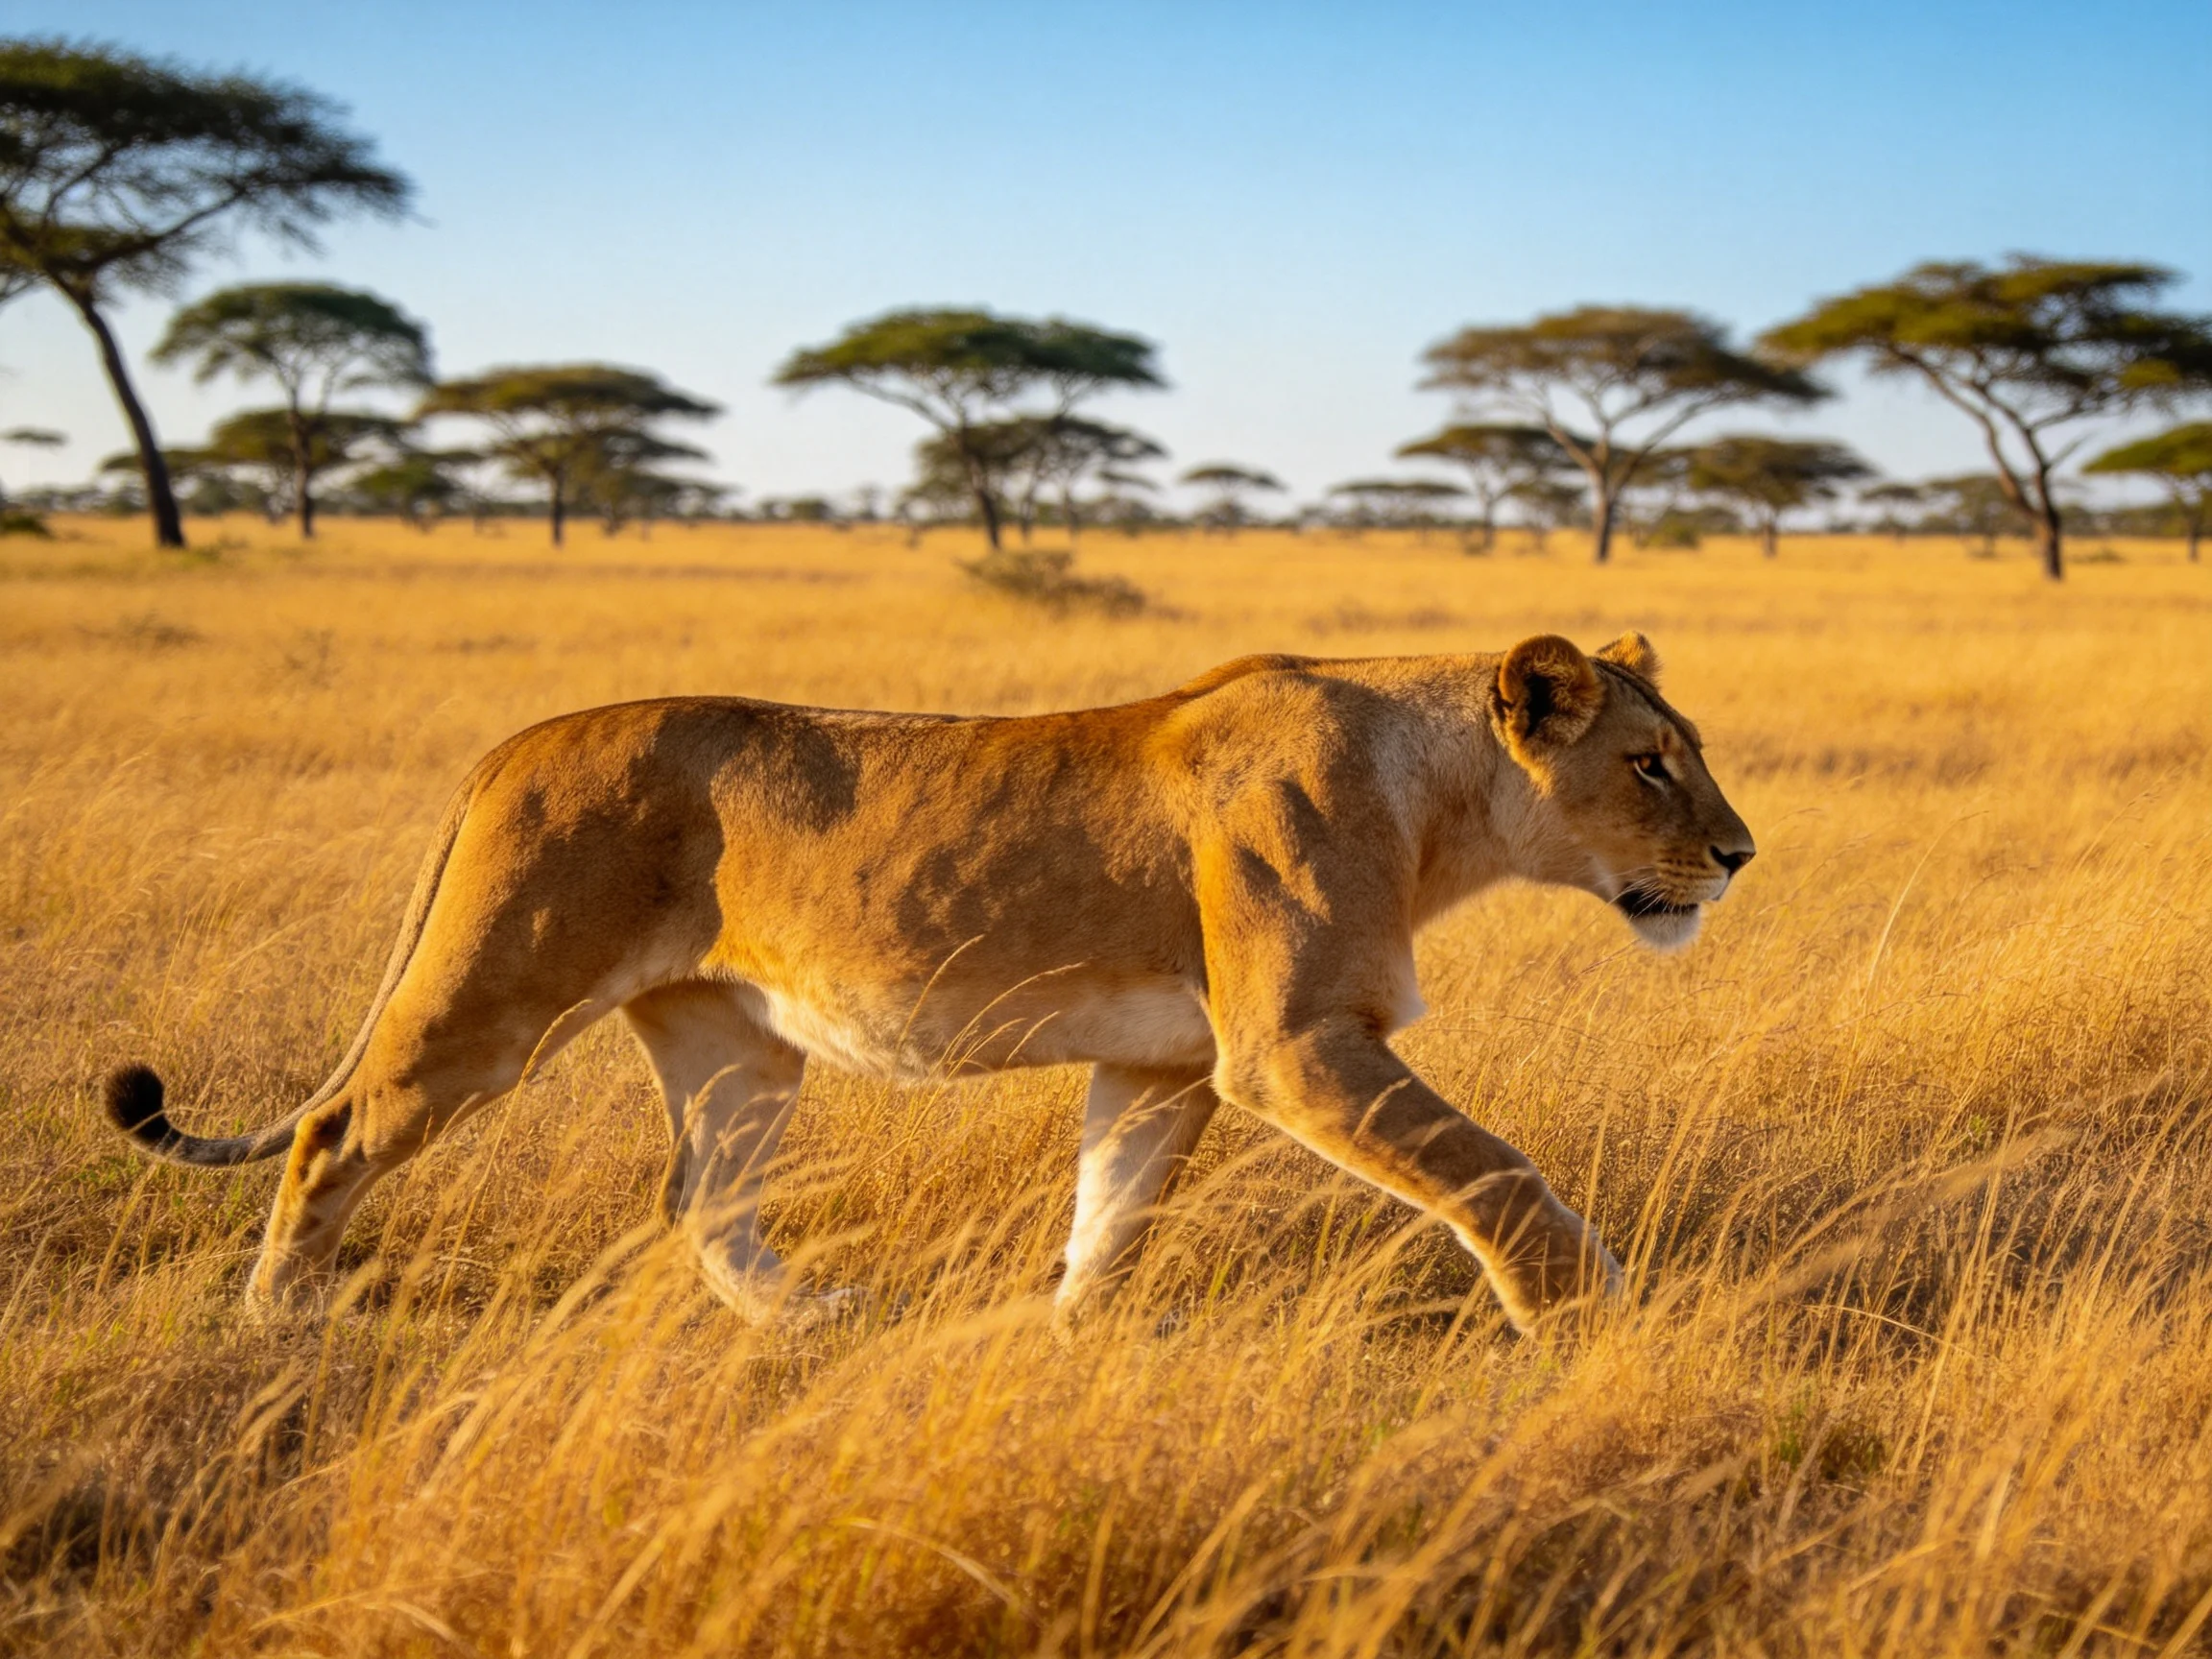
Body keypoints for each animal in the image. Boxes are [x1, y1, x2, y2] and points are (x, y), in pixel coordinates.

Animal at [103, 631, 1754, 1331]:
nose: (1741, 853)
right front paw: (1586, 1311)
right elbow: (1489, 1170)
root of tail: (509, 743)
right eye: (1650, 762)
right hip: (495, 990)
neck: (1436, 806)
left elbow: (1110, 1214)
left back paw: (812, 1323)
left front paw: (1068, 1343)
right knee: (331, 1136)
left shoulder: (1164, 1061)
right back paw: (279, 1322)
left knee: (701, 1199)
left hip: (738, 1042)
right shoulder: (1291, 1048)